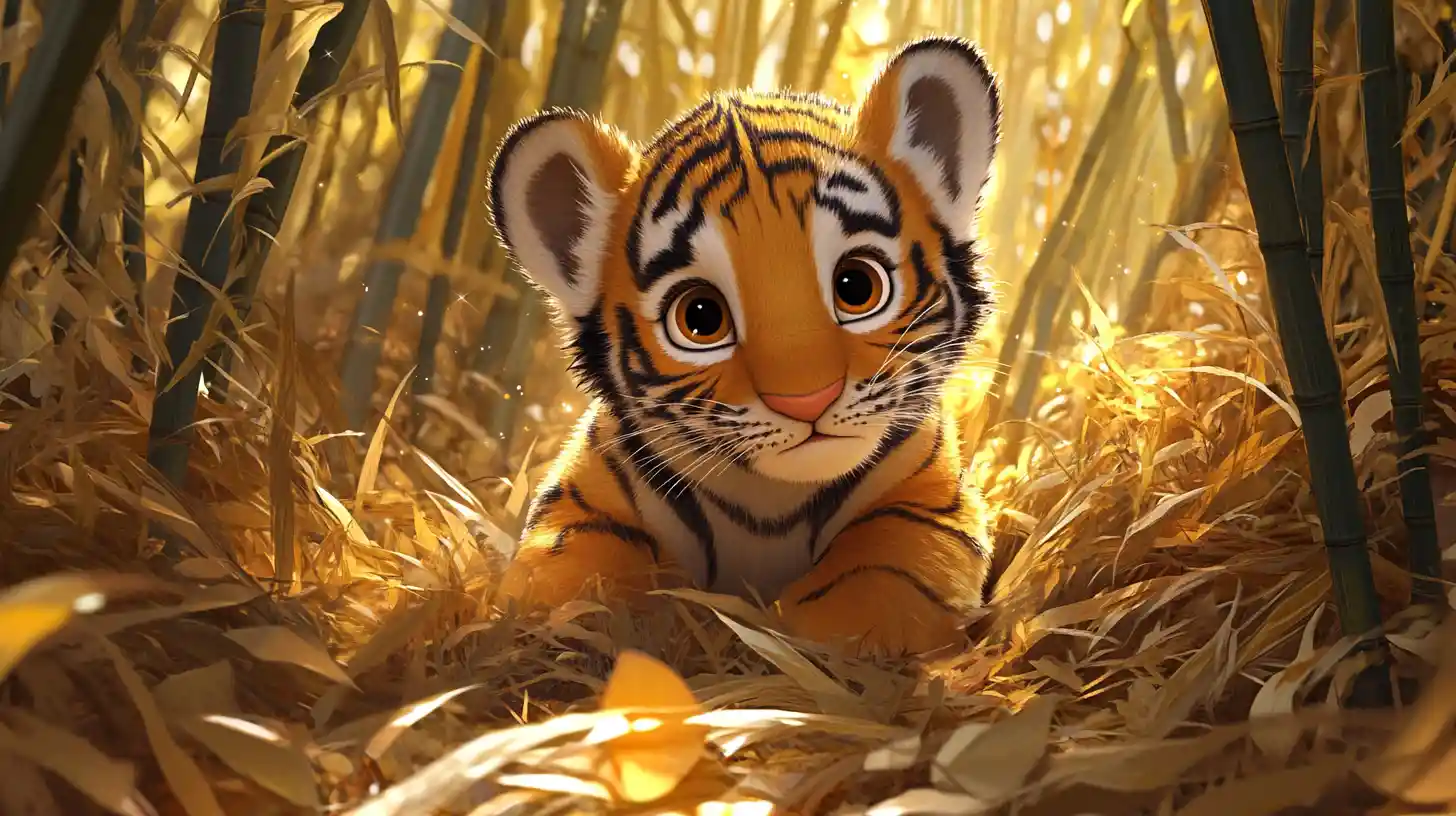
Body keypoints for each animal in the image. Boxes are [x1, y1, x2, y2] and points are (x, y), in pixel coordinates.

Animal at [485, 36, 1001, 658]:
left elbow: (884, 571)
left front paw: (826, 637)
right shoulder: (583, 499)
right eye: (701, 318)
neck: (770, 505)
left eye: (857, 286)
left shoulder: (932, 499)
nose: (807, 400)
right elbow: (568, 570)